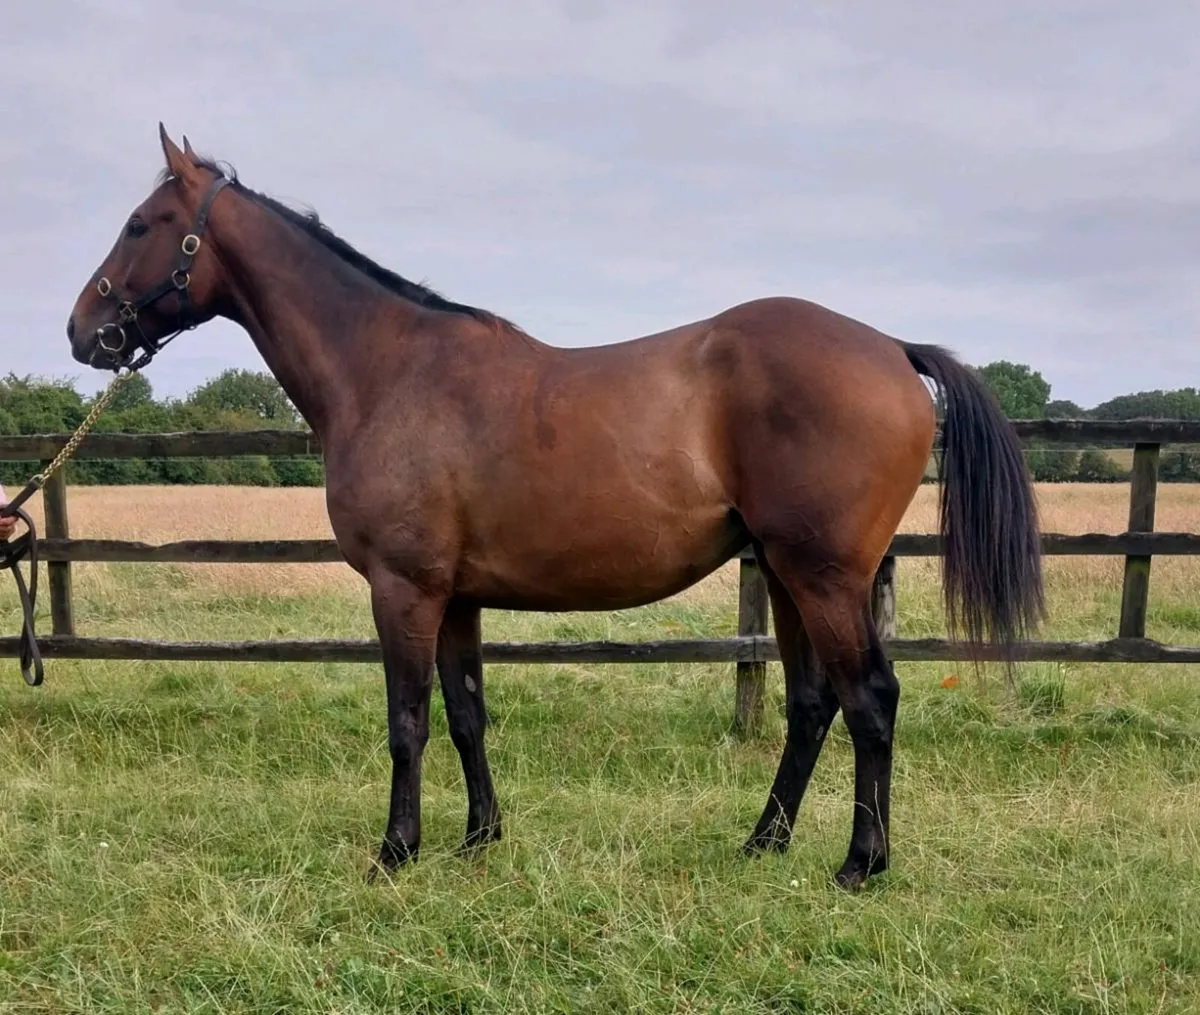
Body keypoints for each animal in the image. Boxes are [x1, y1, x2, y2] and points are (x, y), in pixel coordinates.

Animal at [65, 125, 1043, 889]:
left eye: (141, 224)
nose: (82, 331)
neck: (388, 370)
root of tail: (889, 347)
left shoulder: (403, 589)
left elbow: (407, 723)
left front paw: (395, 852)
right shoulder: (454, 596)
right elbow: (465, 714)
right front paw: (478, 840)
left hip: (823, 574)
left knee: (870, 698)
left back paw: (860, 864)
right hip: (788, 574)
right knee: (812, 704)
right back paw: (762, 843)